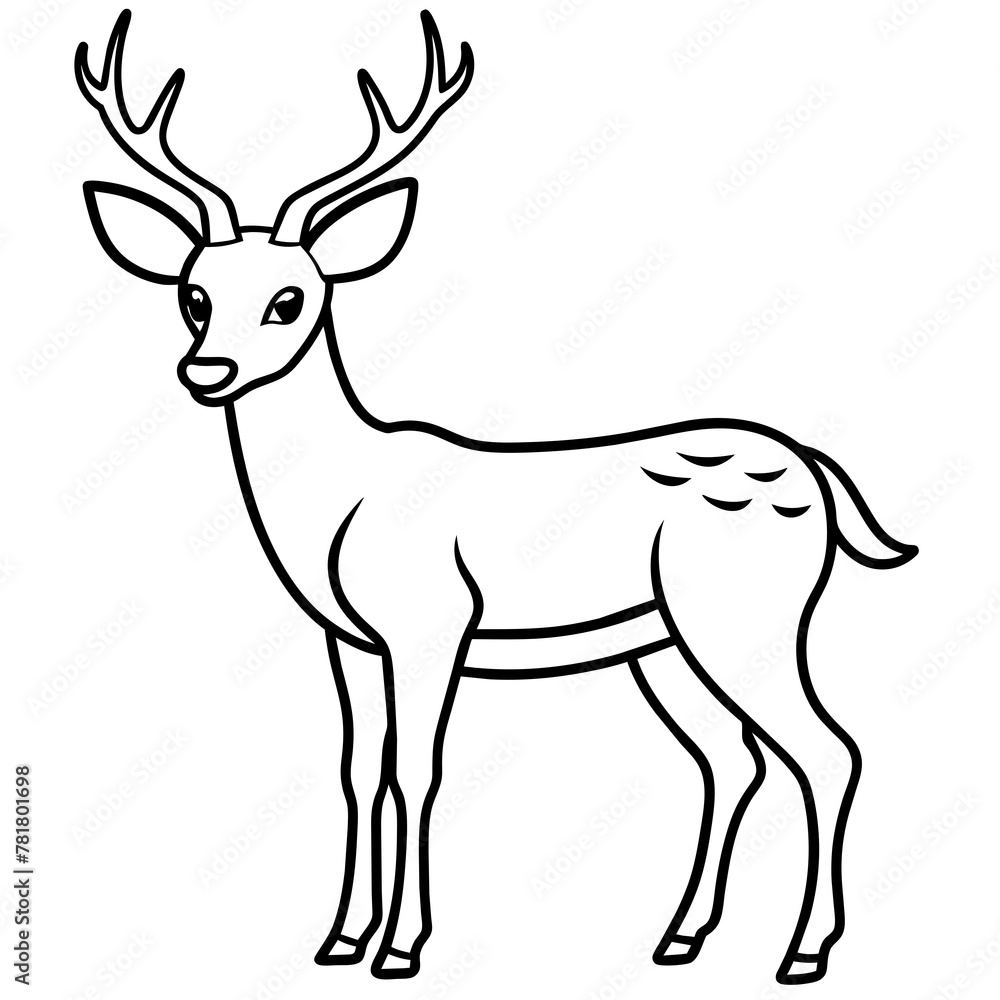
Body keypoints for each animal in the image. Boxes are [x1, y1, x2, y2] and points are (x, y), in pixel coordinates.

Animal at [76, 8, 917, 985]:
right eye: (194, 295)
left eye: (290, 299)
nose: (207, 371)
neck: (341, 504)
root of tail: (815, 470)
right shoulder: (348, 640)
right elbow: (357, 770)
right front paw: (339, 940)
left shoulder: (431, 621)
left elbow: (416, 771)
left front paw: (401, 947)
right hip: (664, 639)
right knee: (731, 758)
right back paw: (680, 937)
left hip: (748, 609)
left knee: (828, 749)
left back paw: (804, 953)